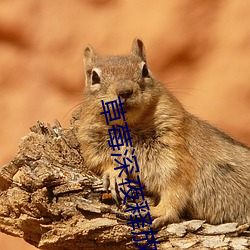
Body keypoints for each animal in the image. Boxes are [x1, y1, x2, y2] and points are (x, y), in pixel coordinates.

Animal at [77, 38, 249, 228]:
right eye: (94, 77)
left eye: (145, 70)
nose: (125, 91)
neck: (128, 127)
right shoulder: (92, 143)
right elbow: (102, 162)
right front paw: (115, 175)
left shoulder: (175, 154)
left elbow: (175, 189)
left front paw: (157, 211)